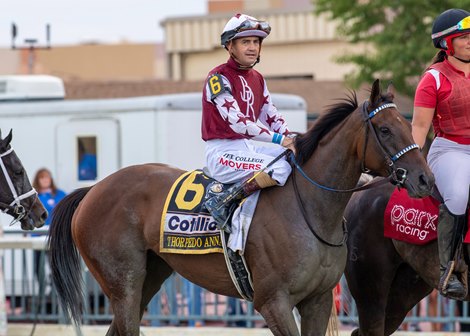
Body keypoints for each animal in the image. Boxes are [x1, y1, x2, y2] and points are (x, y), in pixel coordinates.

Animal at [46, 80, 434, 334]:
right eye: (385, 129)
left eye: (407, 124)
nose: (424, 179)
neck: (310, 210)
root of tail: (93, 190)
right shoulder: (273, 302)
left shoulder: (319, 299)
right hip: (122, 284)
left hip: (149, 277)